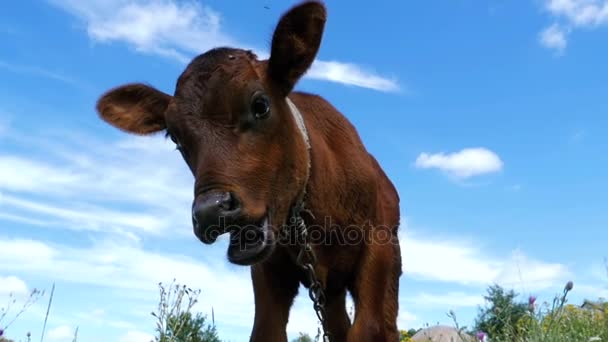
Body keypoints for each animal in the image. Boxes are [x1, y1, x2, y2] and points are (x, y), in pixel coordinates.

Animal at [96, 1, 400, 340]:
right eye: (174, 136)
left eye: (260, 105)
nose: (211, 211)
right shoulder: (268, 271)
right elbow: (267, 330)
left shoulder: (377, 251)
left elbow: (369, 328)